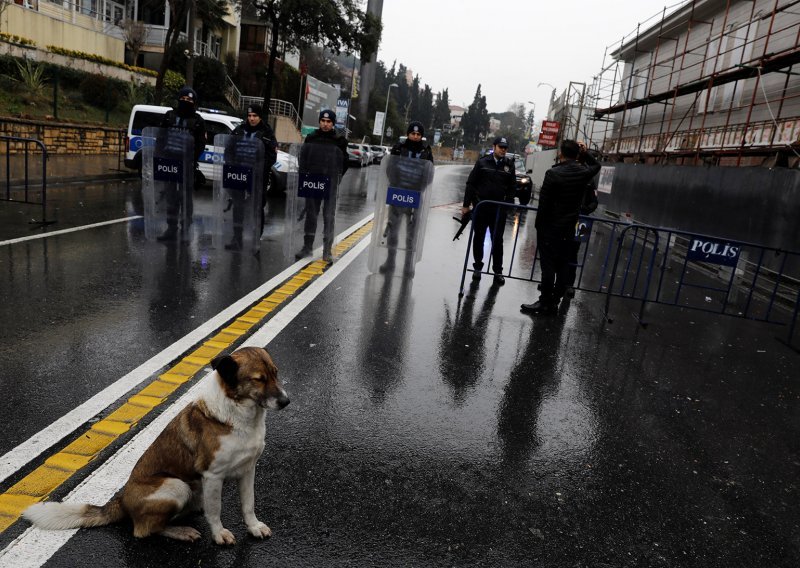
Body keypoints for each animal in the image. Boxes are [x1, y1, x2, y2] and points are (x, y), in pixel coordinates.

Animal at [21, 346, 290, 544]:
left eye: (276, 373)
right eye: (258, 380)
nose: (286, 402)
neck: (238, 415)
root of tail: (121, 500)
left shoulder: (248, 470)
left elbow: (248, 504)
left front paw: (253, 527)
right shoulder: (212, 476)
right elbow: (216, 511)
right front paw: (219, 534)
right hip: (176, 486)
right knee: (144, 530)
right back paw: (180, 530)